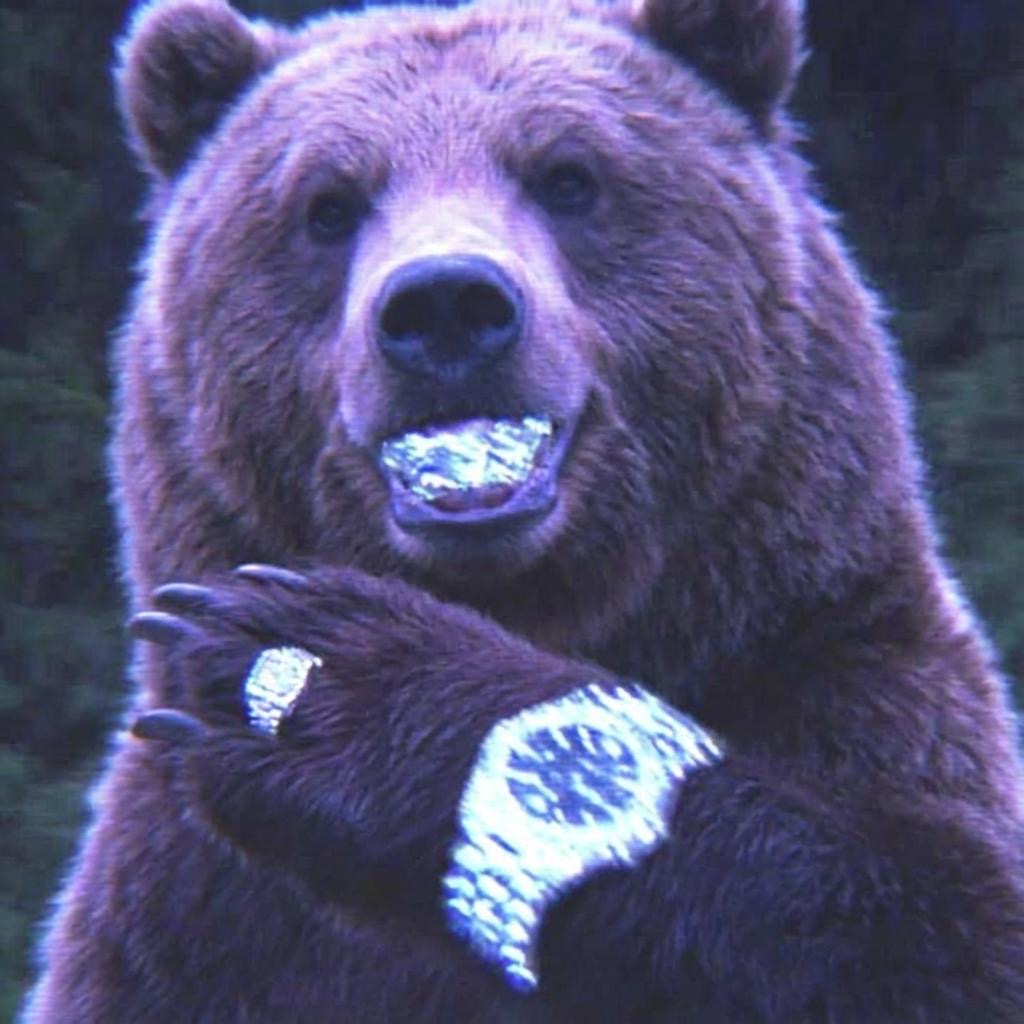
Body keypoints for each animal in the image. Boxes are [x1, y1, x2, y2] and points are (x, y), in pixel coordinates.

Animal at [25, 0, 1024, 1020]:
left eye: (569, 176)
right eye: (328, 204)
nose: (445, 303)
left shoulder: (850, 683)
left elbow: (925, 927)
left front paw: (313, 674)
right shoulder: (188, 927)